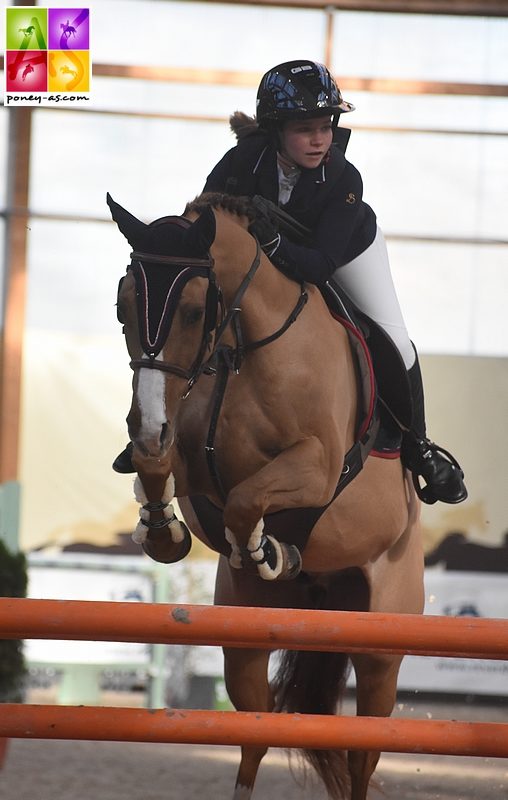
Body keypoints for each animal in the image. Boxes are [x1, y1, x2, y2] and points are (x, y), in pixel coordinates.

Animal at [109, 194, 422, 800]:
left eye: (192, 311)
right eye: (122, 306)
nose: (147, 425)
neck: (241, 345)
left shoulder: (317, 464)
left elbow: (245, 501)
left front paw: (264, 549)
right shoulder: (185, 448)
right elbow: (160, 467)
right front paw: (164, 532)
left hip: (380, 647)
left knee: (363, 752)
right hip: (245, 641)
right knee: (255, 734)